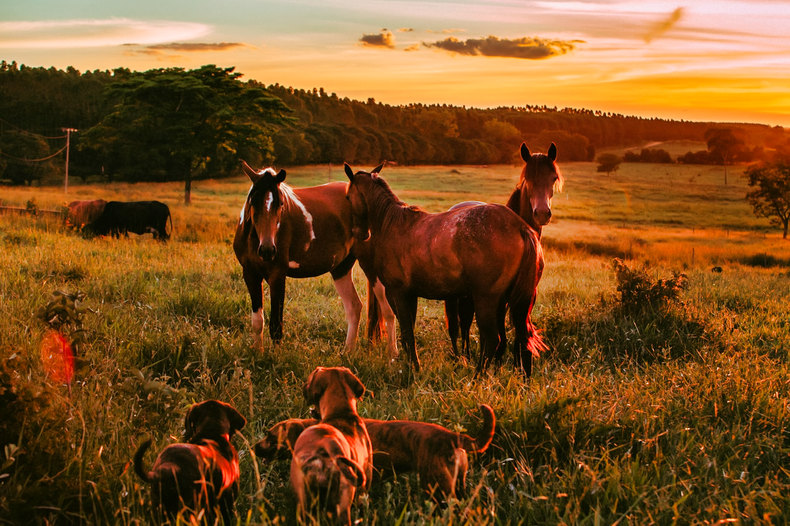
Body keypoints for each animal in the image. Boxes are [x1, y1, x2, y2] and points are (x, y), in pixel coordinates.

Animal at [233, 161, 364, 352]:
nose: (267, 250)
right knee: (354, 307)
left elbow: (276, 325)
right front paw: (258, 352)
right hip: (341, 268)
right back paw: (348, 352)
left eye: (280, 204)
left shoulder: (277, 276)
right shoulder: (250, 274)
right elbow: (258, 322)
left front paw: (274, 357)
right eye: (253, 202)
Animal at [344, 162, 545, 375]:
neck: (393, 224)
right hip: (510, 301)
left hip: (487, 300)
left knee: (492, 340)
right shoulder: (410, 295)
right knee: (521, 338)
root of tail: (521, 227)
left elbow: (407, 333)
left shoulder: (398, 293)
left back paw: (476, 377)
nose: (359, 233)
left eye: (348, 197)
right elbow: (409, 333)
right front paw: (410, 365)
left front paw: (414, 368)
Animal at [445, 143, 563, 365]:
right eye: (528, 178)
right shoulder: (499, 299)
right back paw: (462, 357)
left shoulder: (527, 295)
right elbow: (500, 340)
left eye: (553, 178)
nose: (542, 213)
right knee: (460, 326)